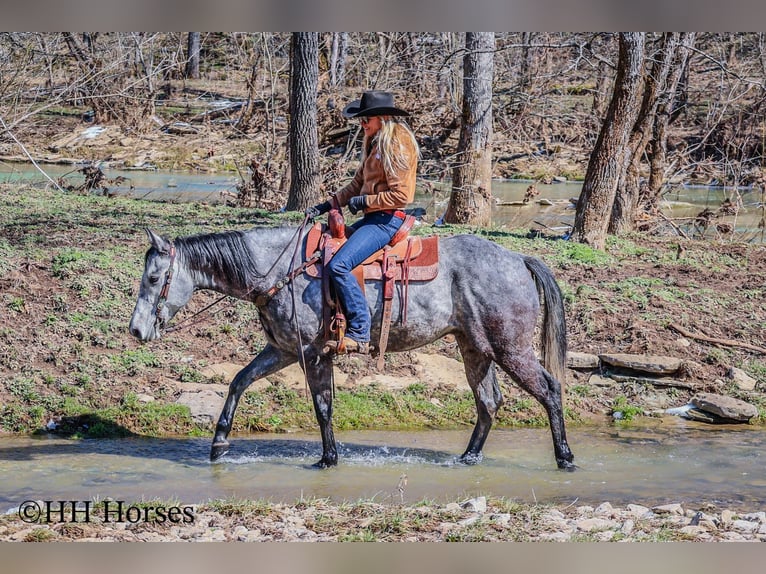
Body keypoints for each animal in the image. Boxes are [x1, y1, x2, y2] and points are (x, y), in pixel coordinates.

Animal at [129, 224, 575, 470]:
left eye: (153, 278)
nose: (135, 330)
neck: (281, 269)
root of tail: (518, 258)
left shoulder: (312, 354)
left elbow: (322, 407)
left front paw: (328, 459)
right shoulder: (284, 350)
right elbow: (239, 381)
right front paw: (219, 443)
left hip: (511, 349)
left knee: (550, 390)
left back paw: (565, 457)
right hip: (475, 350)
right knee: (488, 402)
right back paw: (467, 458)